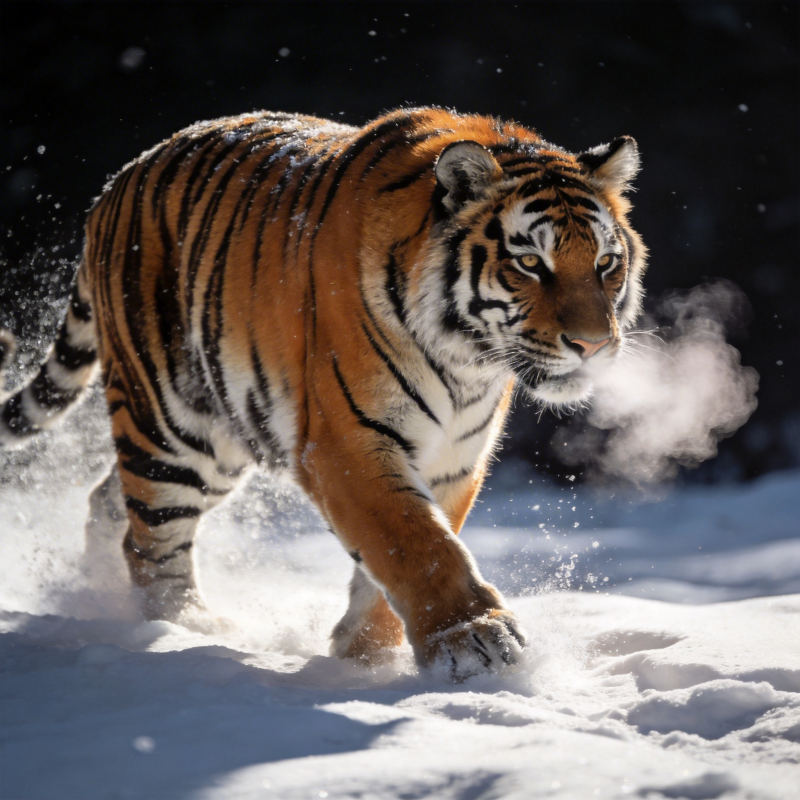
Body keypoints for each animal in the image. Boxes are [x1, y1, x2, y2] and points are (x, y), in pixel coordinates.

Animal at [0, 107, 646, 680]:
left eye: (606, 262)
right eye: (530, 262)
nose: (592, 345)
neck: (468, 362)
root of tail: (118, 181)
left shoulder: (452, 456)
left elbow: (403, 555)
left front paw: (363, 657)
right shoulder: (345, 440)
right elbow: (413, 541)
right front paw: (471, 639)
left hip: (218, 440)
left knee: (110, 502)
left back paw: (100, 592)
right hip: (174, 425)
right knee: (150, 539)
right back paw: (184, 629)